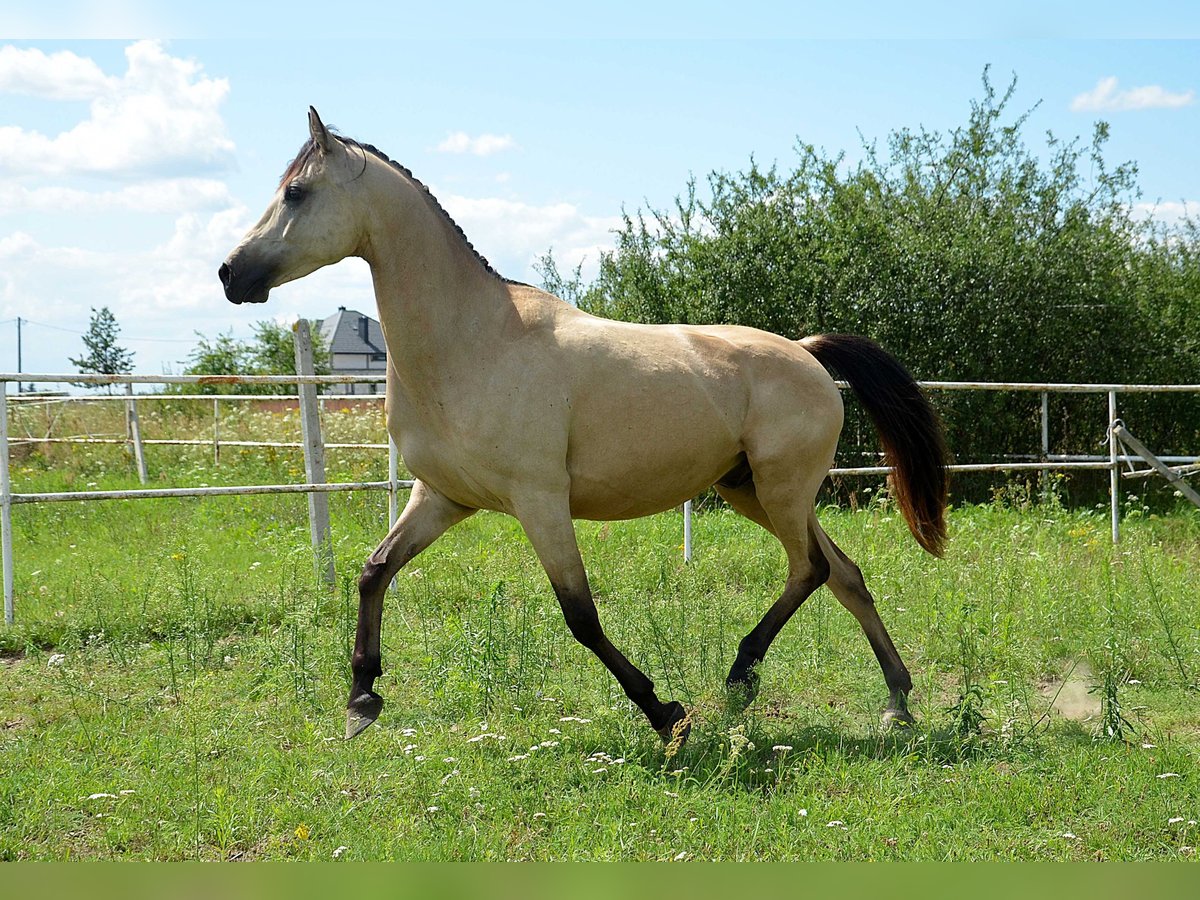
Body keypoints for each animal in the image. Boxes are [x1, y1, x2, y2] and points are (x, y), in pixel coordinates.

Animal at [219, 108, 948, 744]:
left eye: (296, 192)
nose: (230, 273)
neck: (474, 343)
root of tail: (807, 351)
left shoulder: (540, 501)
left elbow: (581, 616)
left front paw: (665, 714)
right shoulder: (443, 497)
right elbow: (374, 571)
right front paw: (361, 699)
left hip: (782, 490)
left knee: (811, 570)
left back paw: (743, 676)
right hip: (752, 491)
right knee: (844, 573)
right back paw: (895, 699)